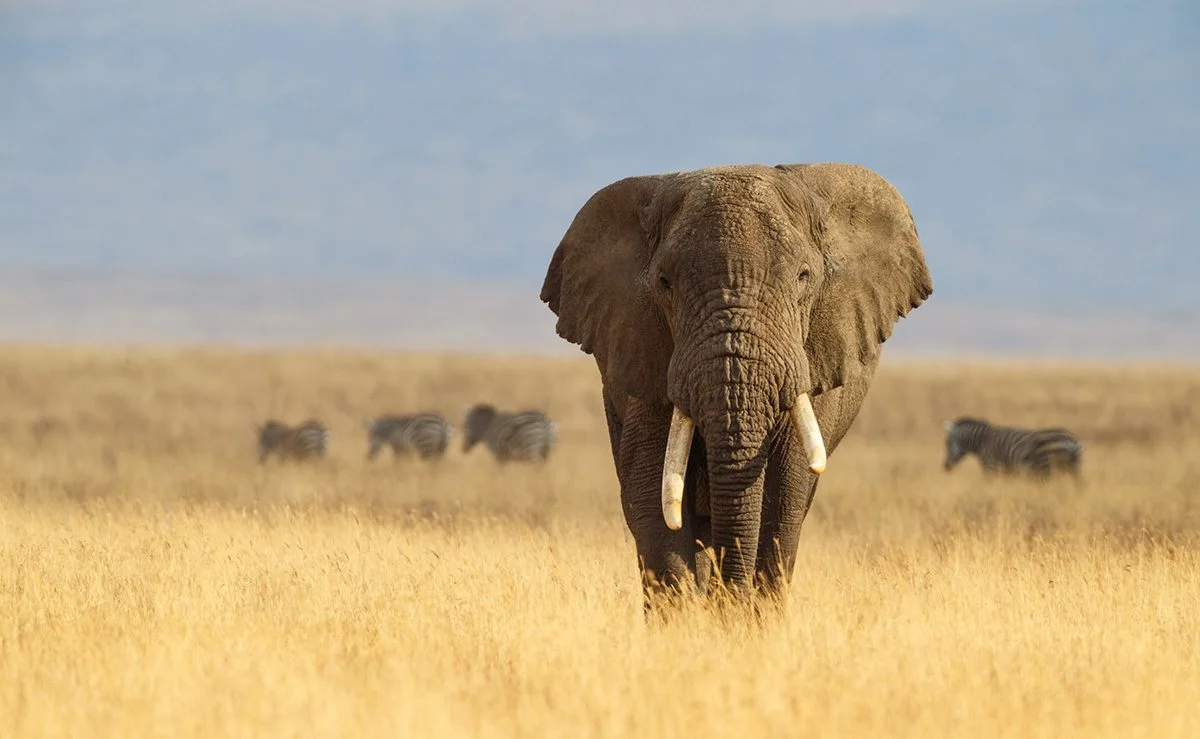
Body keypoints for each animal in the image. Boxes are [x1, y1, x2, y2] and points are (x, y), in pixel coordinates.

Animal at [539, 163, 933, 608]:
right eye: (664, 283)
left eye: (804, 277)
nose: (731, 599)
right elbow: (652, 491)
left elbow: (784, 495)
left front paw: (744, 616)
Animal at [943, 416, 1082, 480]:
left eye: (947, 443)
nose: (945, 467)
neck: (983, 441)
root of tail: (1071, 441)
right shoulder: (1007, 470)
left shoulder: (991, 467)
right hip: (1073, 469)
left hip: (1048, 467)